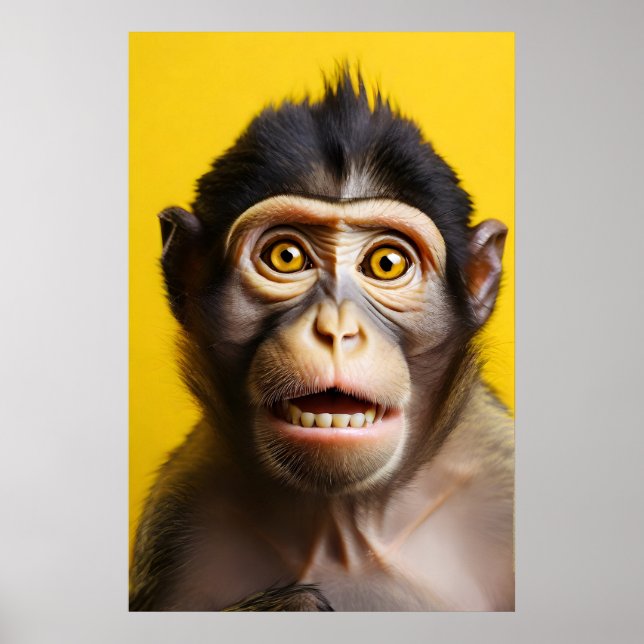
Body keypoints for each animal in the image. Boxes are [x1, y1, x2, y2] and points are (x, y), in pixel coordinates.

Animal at [129, 70, 514, 612]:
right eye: (286, 256)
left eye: (386, 263)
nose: (335, 328)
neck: (345, 528)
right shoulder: (179, 522)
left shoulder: (501, 477)